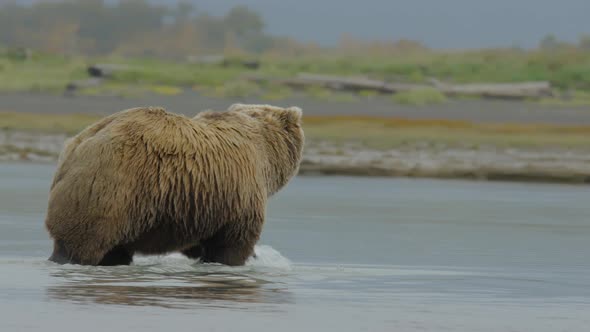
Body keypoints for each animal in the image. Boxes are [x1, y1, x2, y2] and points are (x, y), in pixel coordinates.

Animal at [45, 104, 306, 268]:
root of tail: (78, 145)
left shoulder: (201, 202)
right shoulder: (240, 189)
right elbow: (233, 241)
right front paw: (243, 257)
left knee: (113, 250)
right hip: (111, 191)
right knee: (83, 244)